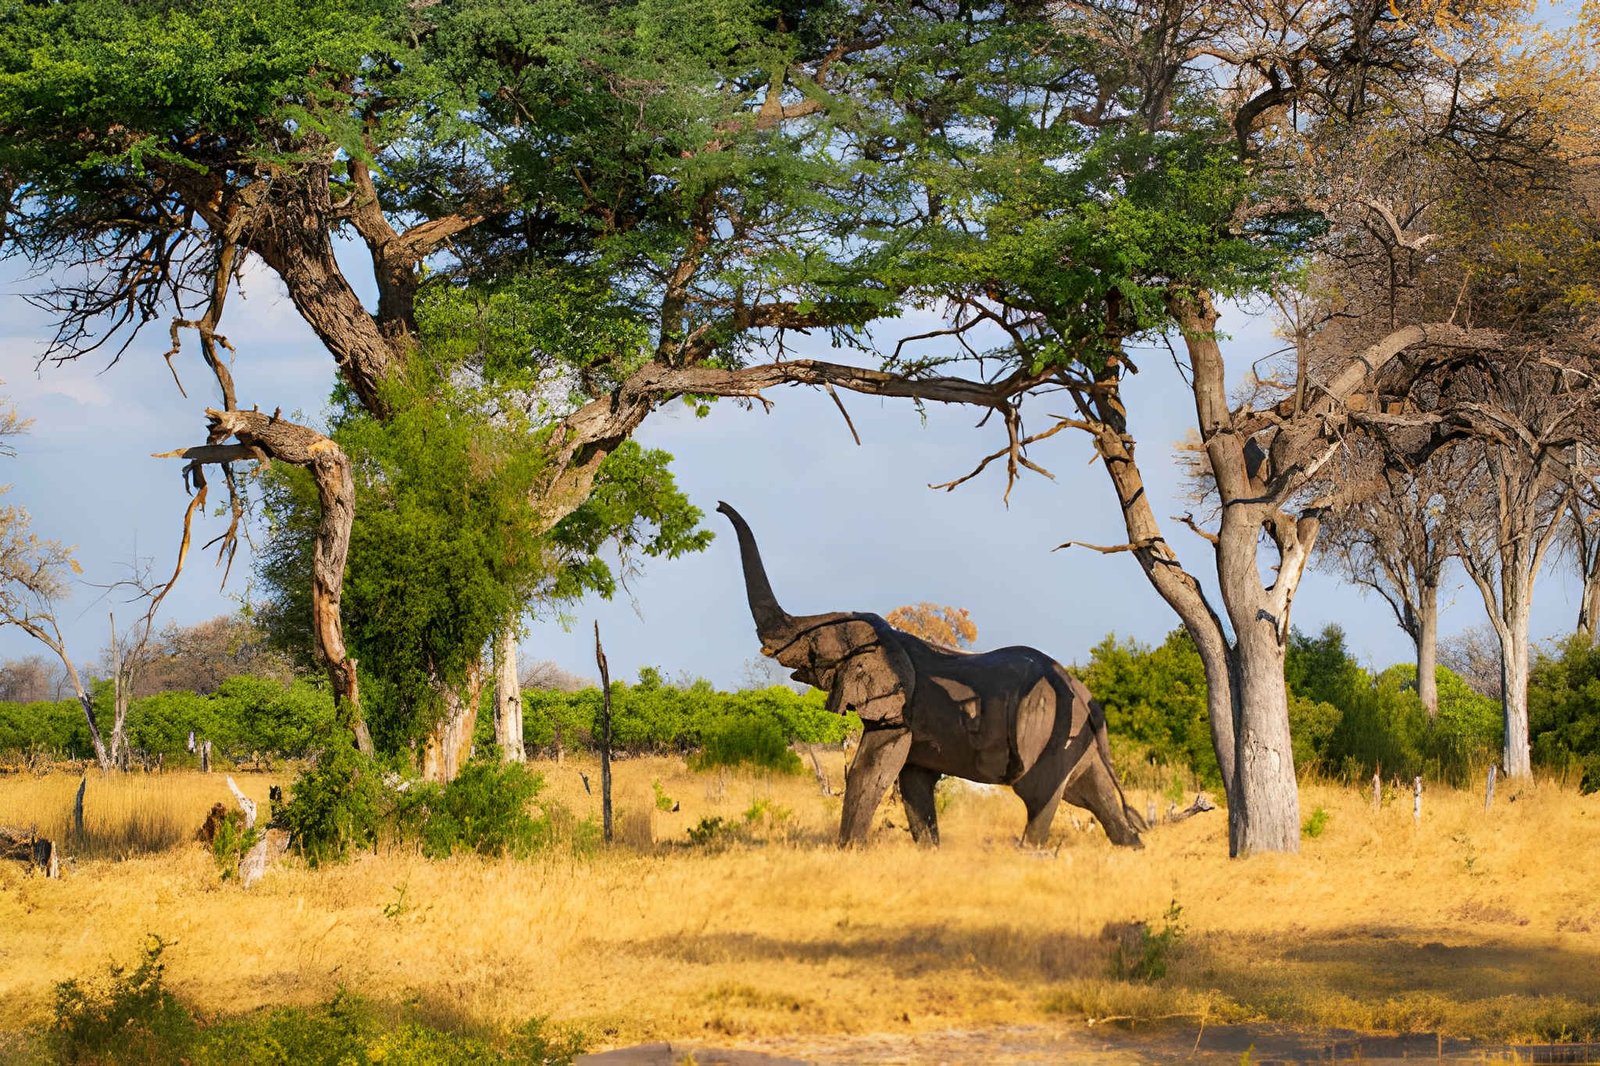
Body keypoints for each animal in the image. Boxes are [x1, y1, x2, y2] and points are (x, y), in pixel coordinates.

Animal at [717, 502, 1145, 848]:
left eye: (815, 649)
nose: (718, 505)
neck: (891, 639)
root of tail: (1088, 697)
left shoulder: (898, 711)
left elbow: (871, 768)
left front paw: (847, 852)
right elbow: (913, 783)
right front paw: (928, 851)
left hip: (1043, 726)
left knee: (1038, 791)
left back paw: (1027, 855)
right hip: (1072, 734)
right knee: (1090, 793)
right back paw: (1132, 848)